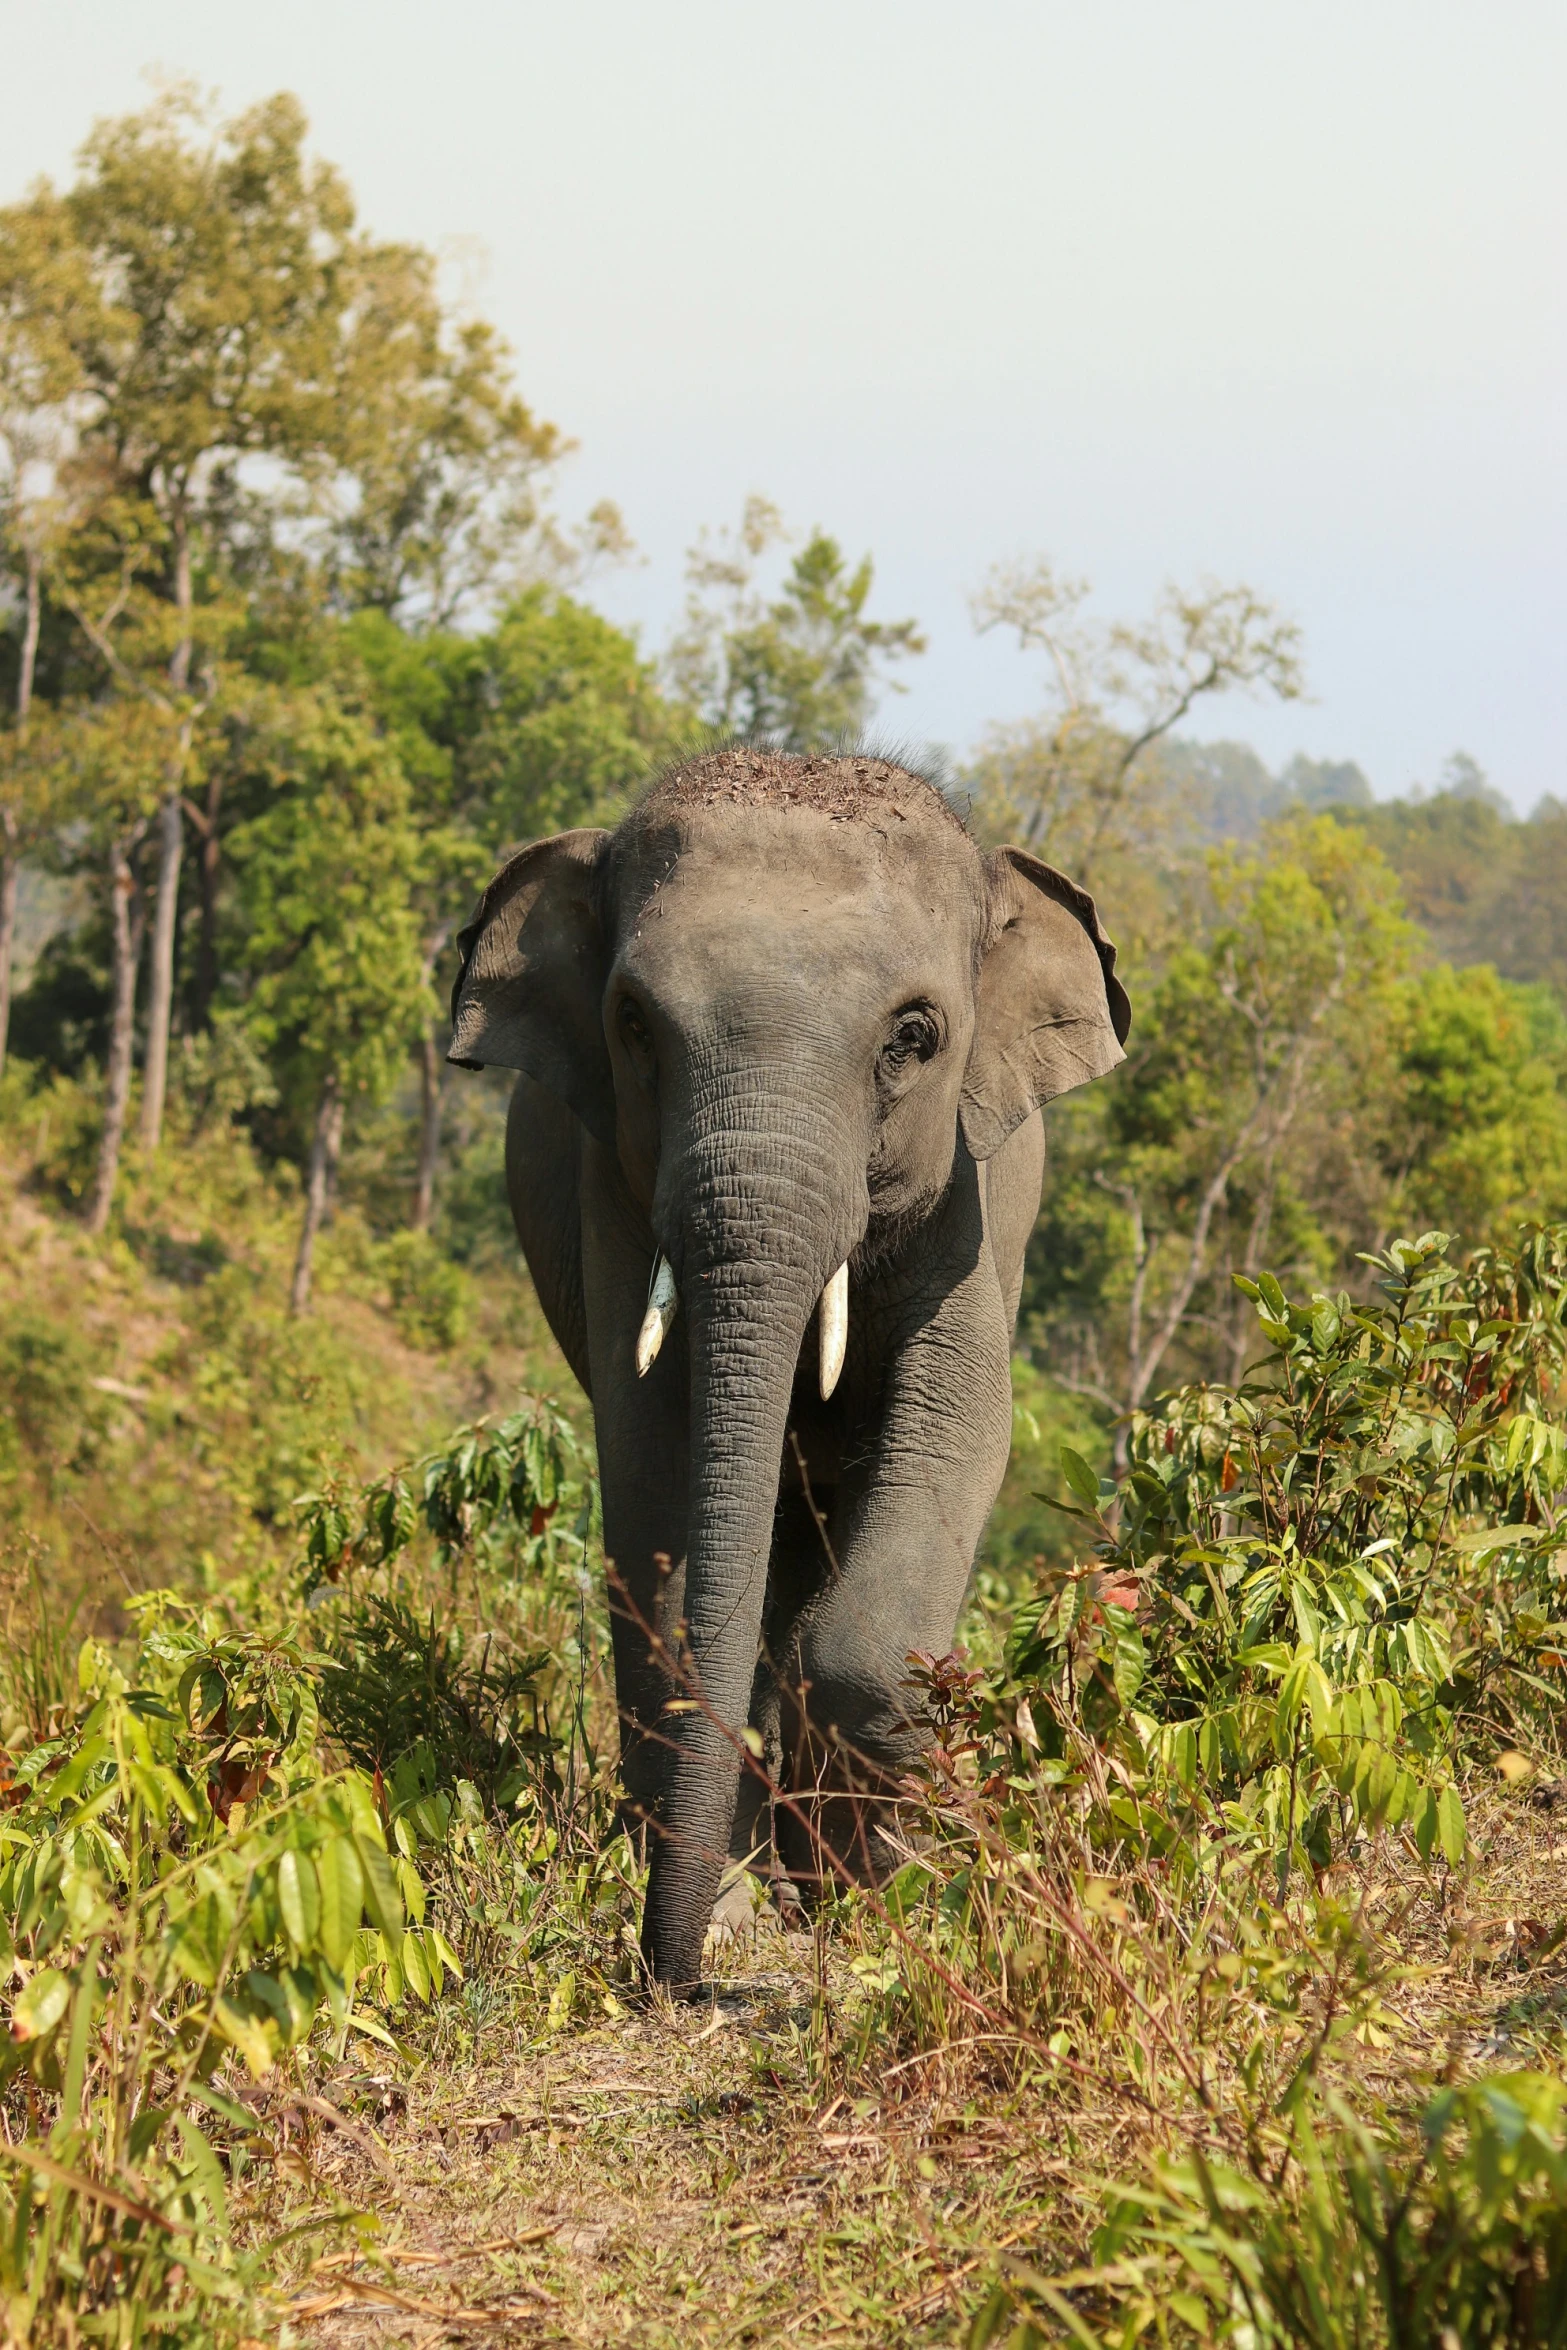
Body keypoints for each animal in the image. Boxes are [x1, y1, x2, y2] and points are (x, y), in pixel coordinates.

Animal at [446, 742, 1132, 1992]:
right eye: (632, 1022)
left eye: (913, 1037)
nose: (673, 1978)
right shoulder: (611, 1185)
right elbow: (655, 1468)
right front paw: (734, 1912)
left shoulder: (975, 1197)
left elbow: (958, 1427)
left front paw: (873, 1893)